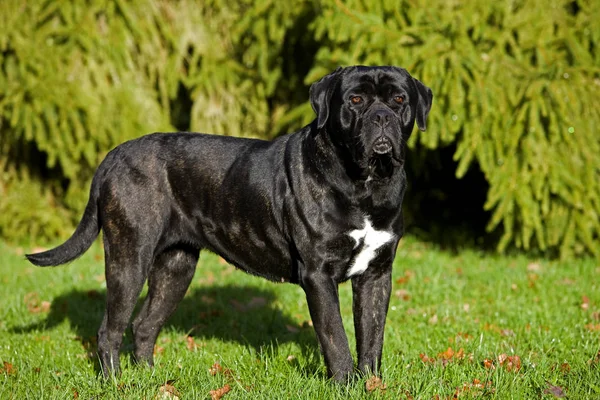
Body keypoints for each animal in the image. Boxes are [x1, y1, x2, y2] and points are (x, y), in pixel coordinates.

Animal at [27, 65, 432, 382]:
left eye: (399, 100)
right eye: (356, 100)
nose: (382, 117)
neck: (367, 184)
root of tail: (111, 157)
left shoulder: (377, 274)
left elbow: (372, 337)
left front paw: (371, 384)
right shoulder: (319, 274)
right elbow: (336, 338)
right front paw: (346, 383)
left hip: (177, 266)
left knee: (143, 324)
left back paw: (150, 379)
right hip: (129, 258)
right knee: (109, 330)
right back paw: (117, 384)